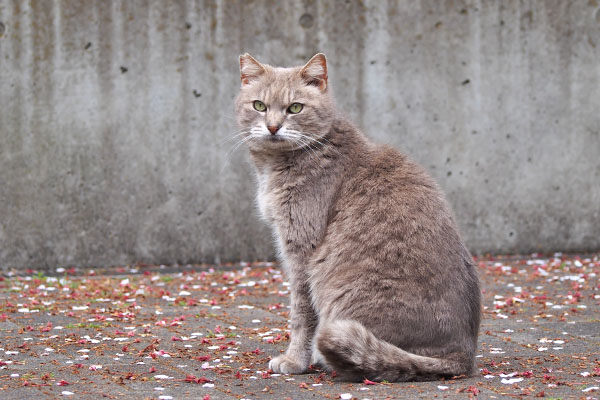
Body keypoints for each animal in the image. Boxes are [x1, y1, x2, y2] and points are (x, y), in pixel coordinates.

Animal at [232, 53, 480, 382]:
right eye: (259, 105)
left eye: (295, 108)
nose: (272, 127)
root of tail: (463, 355)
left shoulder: (301, 249)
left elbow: (301, 313)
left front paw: (295, 360)